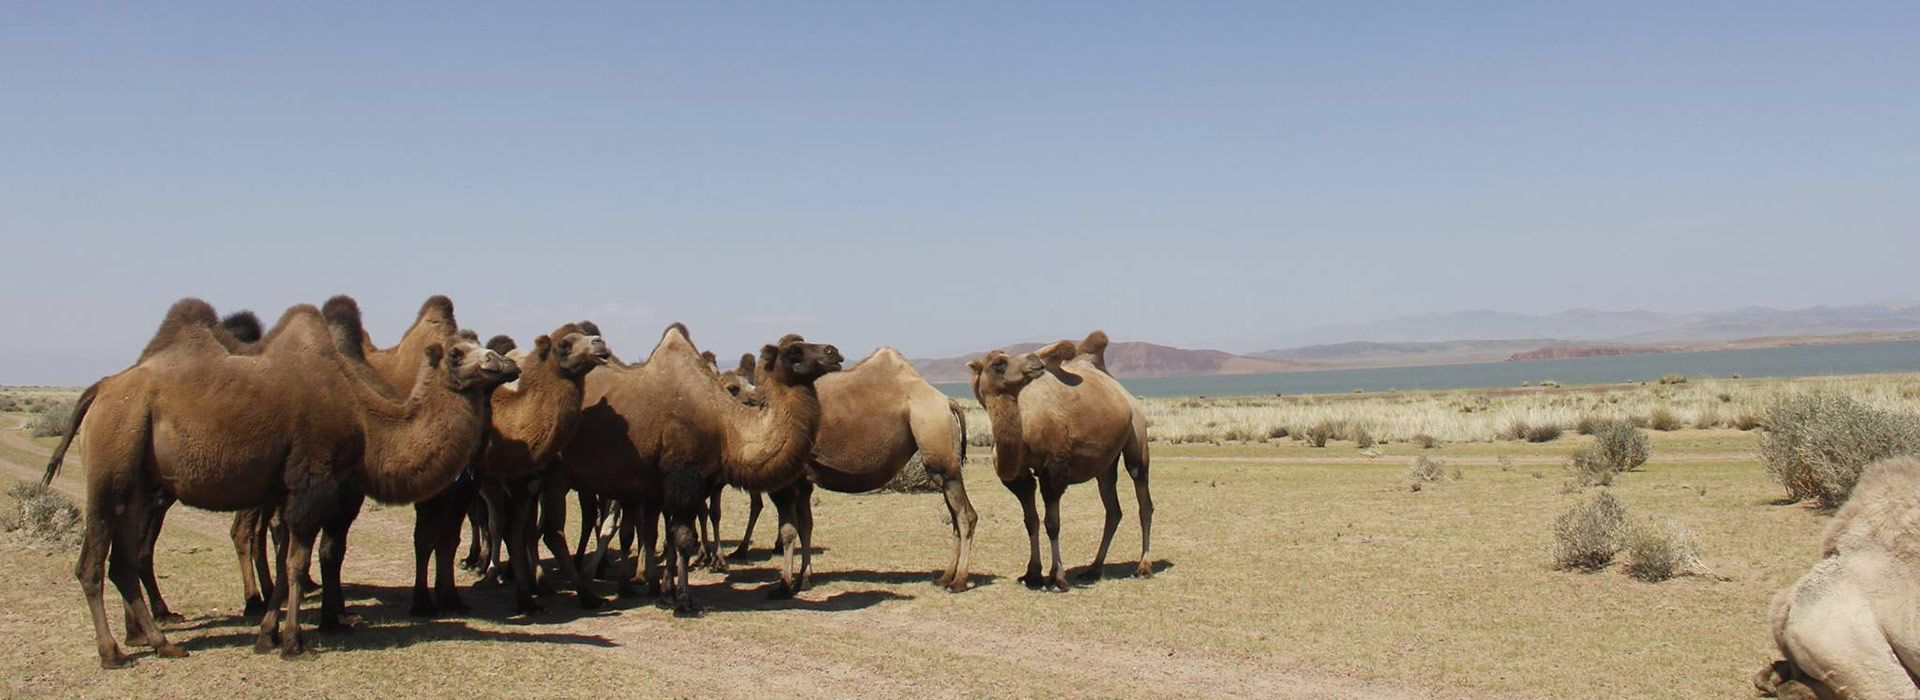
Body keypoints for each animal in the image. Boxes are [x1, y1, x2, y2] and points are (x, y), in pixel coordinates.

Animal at [410, 322, 606, 609]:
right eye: (564, 345)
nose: (599, 344)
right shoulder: (497, 480)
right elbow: (500, 526)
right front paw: (497, 575)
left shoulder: (528, 482)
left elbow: (522, 530)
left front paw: (534, 585)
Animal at [556, 324, 840, 613]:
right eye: (794, 352)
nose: (833, 351)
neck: (725, 425)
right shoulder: (682, 474)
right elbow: (682, 537)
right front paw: (683, 600)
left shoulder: (689, 483)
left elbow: (671, 534)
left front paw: (665, 593)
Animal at [960, 329, 1152, 586]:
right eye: (999, 363)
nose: (1034, 360)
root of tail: (1126, 395)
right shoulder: (1020, 476)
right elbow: (1030, 521)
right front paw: (1031, 574)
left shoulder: (1054, 466)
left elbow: (1052, 523)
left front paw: (1057, 578)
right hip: (1106, 465)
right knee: (1113, 510)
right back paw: (1094, 569)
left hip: (1137, 435)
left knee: (1143, 499)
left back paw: (1143, 567)